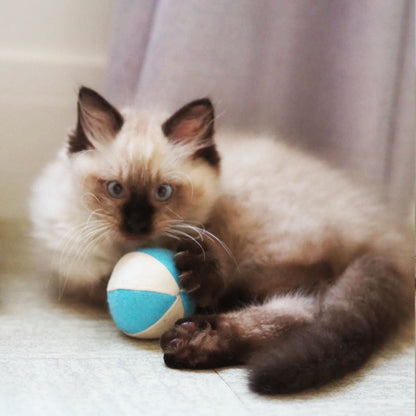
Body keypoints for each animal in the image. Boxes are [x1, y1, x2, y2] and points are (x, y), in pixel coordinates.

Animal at [29, 87, 412, 394]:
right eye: (115, 189)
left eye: (163, 192)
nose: (136, 225)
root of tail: (388, 236)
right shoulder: (86, 272)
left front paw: (197, 277)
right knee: (302, 311)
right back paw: (196, 340)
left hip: (263, 244)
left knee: (293, 299)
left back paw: (197, 329)